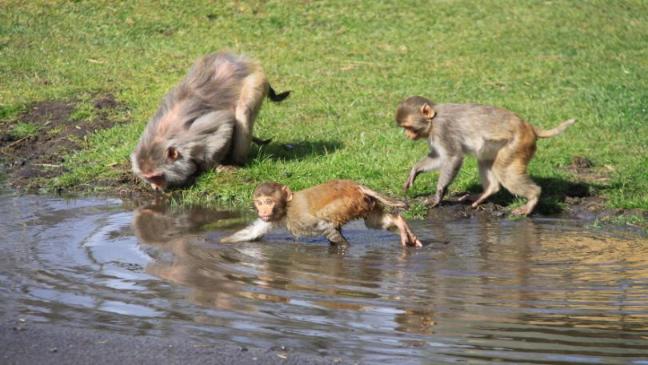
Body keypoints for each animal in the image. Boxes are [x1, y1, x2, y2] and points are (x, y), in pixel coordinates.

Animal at [130, 52, 288, 192]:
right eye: (149, 178)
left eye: (157, 177)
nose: (155, 187)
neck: (161, 137)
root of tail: (243, 60)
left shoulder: (194, 132)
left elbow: (225, 123)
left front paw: (209, 166)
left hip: (256, 80)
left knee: (243, 112)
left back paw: (238, 161)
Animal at [221, 180, 426, 247]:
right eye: (260, 202)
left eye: (269, 202)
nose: (263, 210)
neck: (286, 207)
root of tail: (356, 185)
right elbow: (253, 233)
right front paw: (220, 242)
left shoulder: (300, 217)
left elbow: (325, 227)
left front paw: (344, 247)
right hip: (366, 203)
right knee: (374, 221)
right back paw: (399, 222)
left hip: (350, 203)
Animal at [398, 96, 576, 216]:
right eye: (404, 128)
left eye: (409, 127)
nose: (407, 135)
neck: (433, 120)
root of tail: (529, 127)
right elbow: (438, 156)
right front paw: (415, 171)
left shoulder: (442, 130)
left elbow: (453, 157)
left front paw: (438, 195)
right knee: (484, 159)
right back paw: (488, 191)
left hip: (517, 145)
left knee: (504, 171)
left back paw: (533, 197)